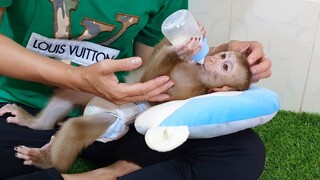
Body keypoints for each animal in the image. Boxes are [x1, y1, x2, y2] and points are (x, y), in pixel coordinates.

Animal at [0, 37, 250, 172]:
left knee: (76, 128)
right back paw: (37, 124)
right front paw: (181, 41)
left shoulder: (185, 87)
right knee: (72, 89)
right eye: (223, 57)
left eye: (225, 67)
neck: (197, 72)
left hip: (110, 123)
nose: (213, 58)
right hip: (92, 93)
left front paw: (176, 51)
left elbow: (151, 85)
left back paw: (47, 160)